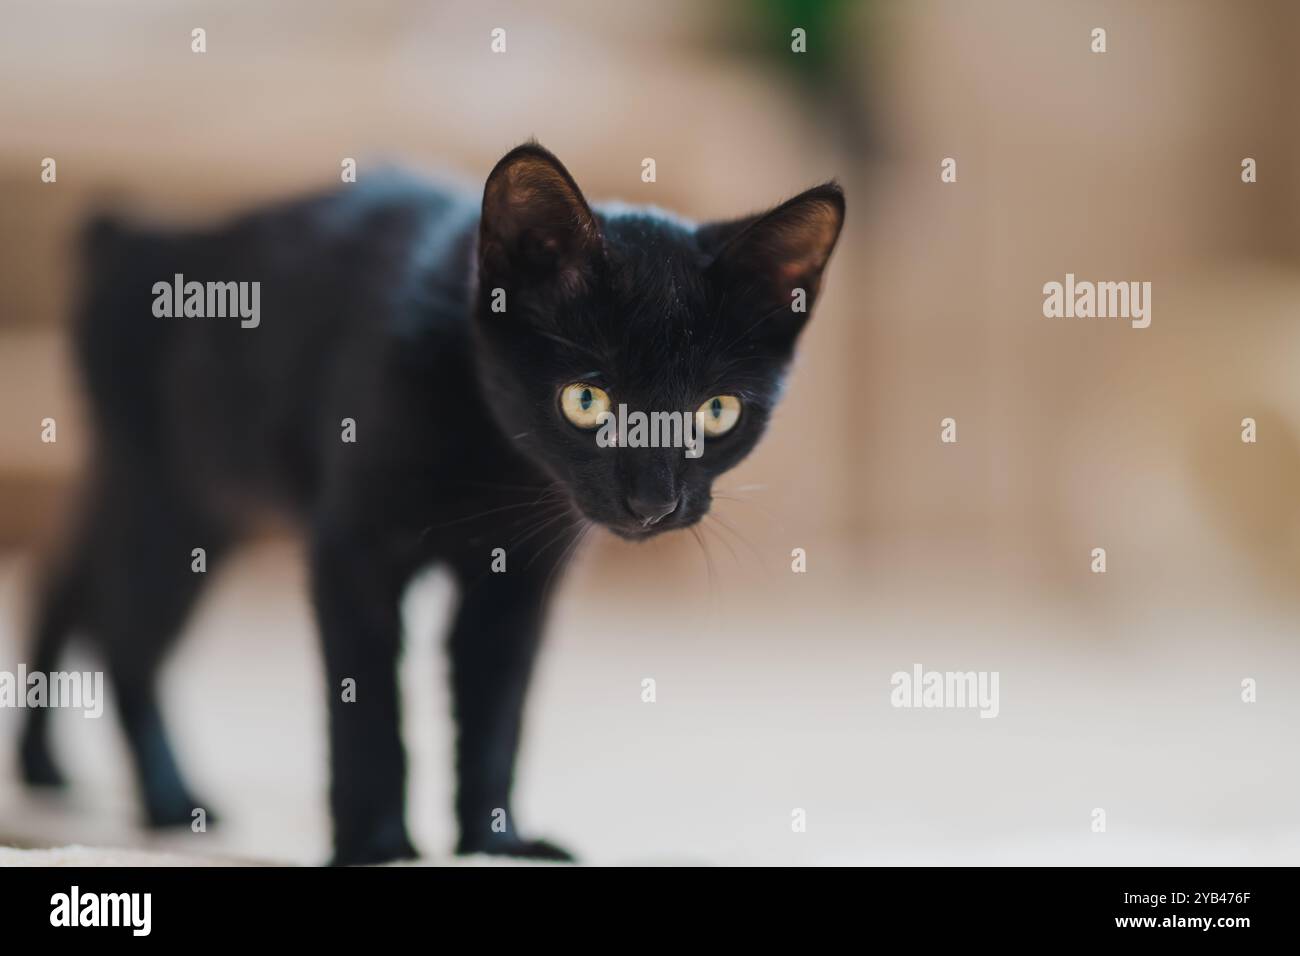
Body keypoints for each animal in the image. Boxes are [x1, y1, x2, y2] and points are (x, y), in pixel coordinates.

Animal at [22, 143, 842, 868]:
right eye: (587, 400)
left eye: (716, 411)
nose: (652, 502)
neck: (496, 462)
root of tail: (137, 236)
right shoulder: (353, 553)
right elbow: (368, 711)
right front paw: (378, 846)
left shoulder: (518, 583)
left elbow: (495, 714)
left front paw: (495, 844)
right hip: (171, 508)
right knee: (122, 640)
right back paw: (167, 799)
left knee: (68, 587)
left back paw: (41, 764)